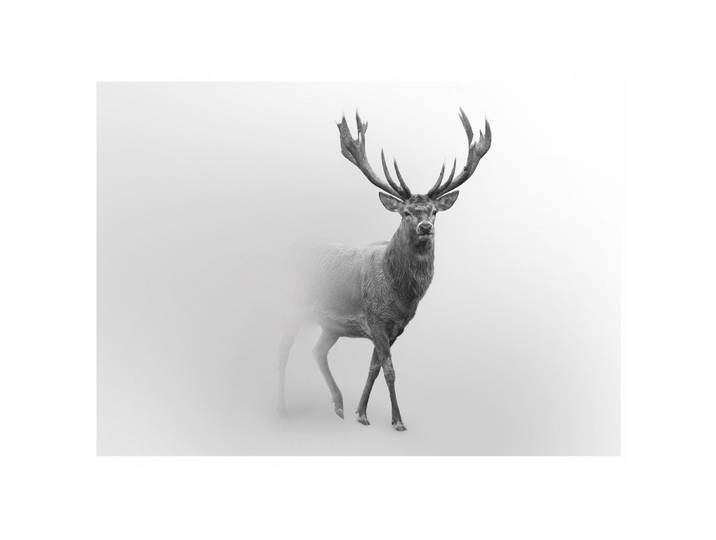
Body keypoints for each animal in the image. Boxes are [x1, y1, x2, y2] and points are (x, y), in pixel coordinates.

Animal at [277, 108, 491, 431]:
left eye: (434, 211)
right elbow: (389, 370)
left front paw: (361, 413)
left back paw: (338, 405)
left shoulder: (395, 328)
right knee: (283, 351)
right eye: (406, 212)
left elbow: (374, 368)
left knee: (317, 350)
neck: (401, 294)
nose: (425, 227)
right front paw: (398, 421)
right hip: (293, 307)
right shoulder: (375, 319)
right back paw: (282, 409)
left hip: (331, 325)